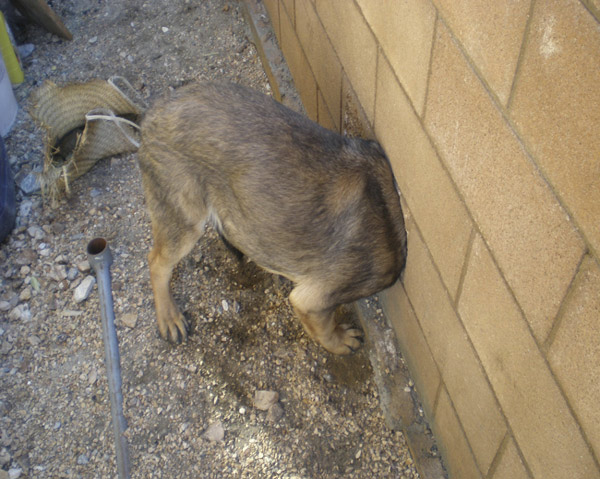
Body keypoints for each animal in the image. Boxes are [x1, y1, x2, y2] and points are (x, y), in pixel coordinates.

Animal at [138, 81, 406, 356]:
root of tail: (154, 111)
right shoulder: (314, 300)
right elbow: (325, 329)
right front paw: (340, 341)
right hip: (184, 220)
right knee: (156, 262)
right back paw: (169, 316)